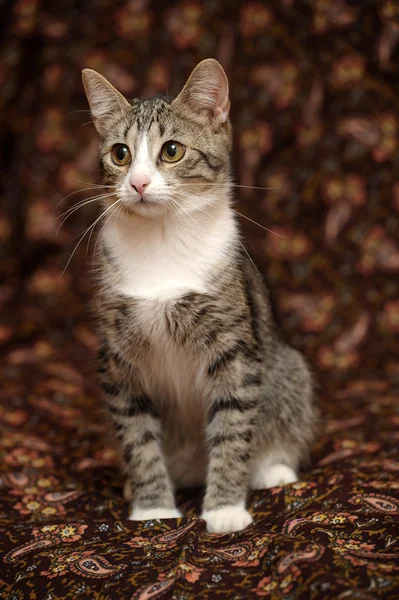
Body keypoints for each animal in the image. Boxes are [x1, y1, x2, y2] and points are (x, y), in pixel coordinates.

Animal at [82, 58, 318, 532]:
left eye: (172, 150)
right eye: (120, 154)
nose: (138, 183)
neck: (162, 241)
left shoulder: (235, 349)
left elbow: (232, 426)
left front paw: (225, 508)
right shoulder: (117, 358)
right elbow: (137, 436)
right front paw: (153, 506)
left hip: (288, 369)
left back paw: (272, 469)